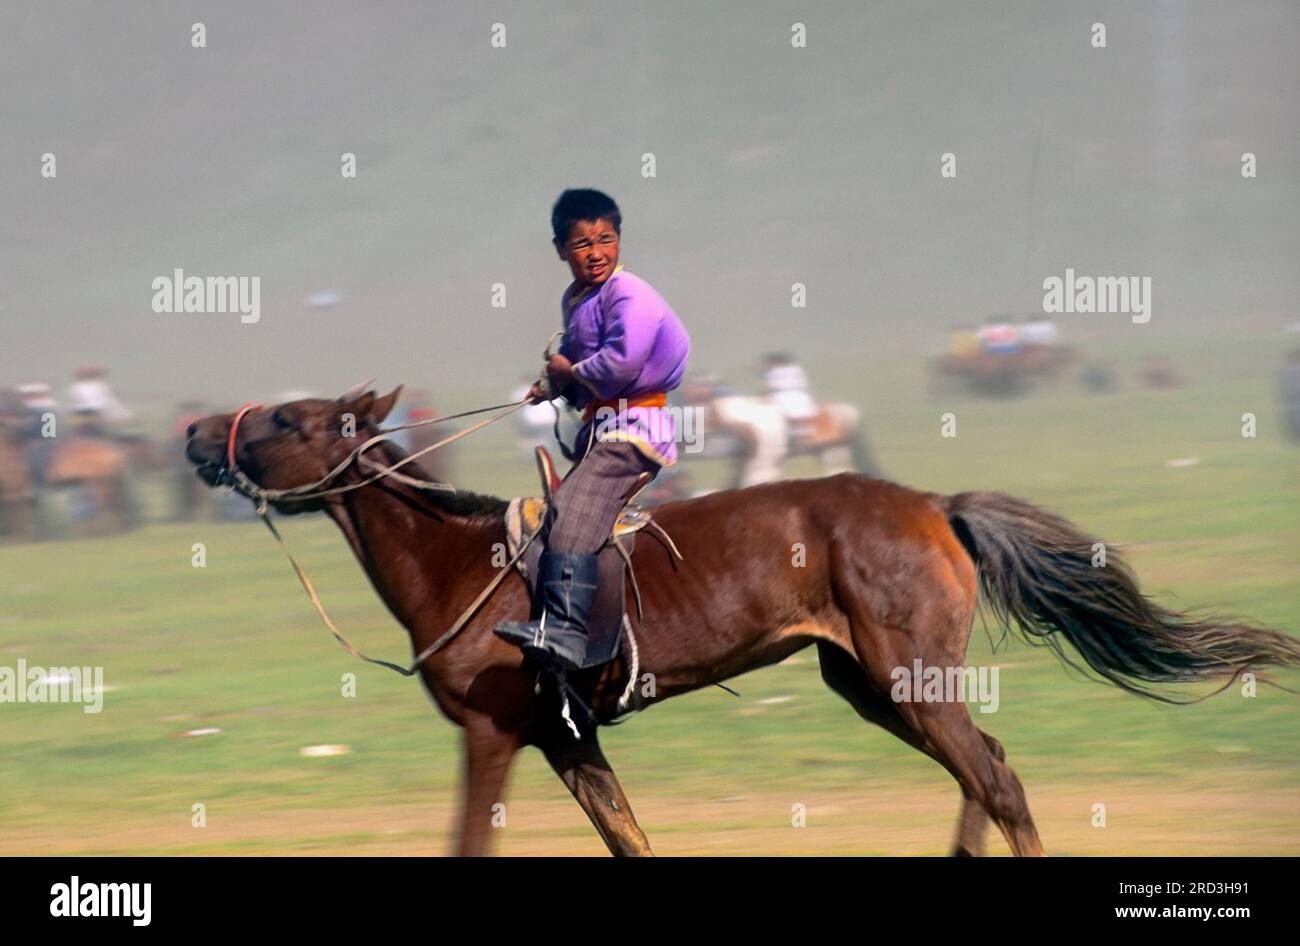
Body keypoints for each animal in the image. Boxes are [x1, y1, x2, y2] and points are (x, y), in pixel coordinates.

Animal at [184, 386, 1300, 856]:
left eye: (285, 416)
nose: (196, 432)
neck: (463, 560)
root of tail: (935, 504)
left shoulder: (495, 733)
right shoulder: (564, 736)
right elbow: (630, 838)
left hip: (910, 679)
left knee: (997, 780)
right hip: (872, 685)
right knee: (983, 769)